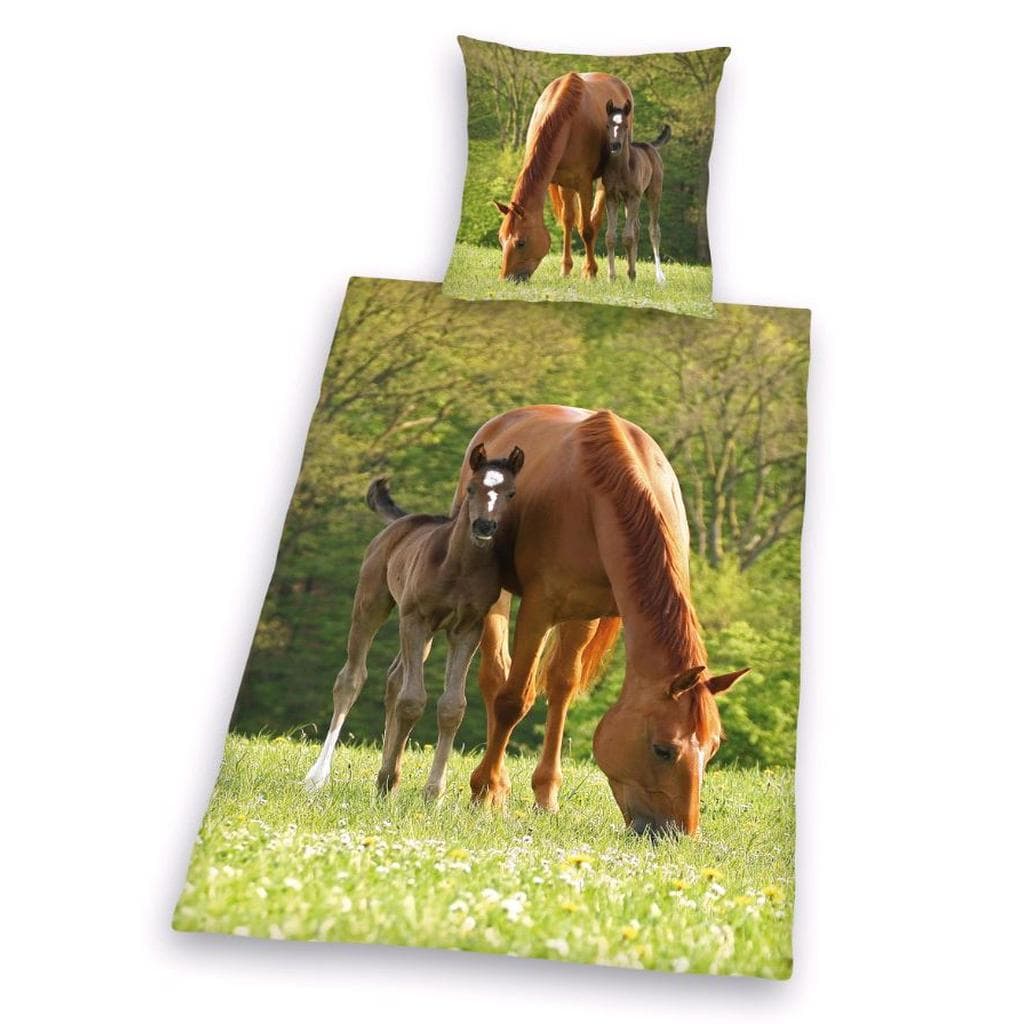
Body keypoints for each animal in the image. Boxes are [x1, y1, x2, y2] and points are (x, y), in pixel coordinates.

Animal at [303, 444, 525, 802]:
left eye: (511, 492)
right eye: (471, 488)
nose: (484, 527)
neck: (459, 567)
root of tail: (405, 520)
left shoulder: (467, 629)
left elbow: (451, 706)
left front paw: (432, 793)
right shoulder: (416, 620)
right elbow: (412, 700)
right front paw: (392, 782)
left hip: (428, 634)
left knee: (394, 679)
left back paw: (384, 772)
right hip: (372, 603)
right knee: (352, 679)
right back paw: (318, 776)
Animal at [450, 406, 748, 837]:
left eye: (713, 749)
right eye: (662, 750)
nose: (678, 835)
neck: (604, 494)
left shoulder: (585, 611)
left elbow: (562, 688)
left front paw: (546, 797)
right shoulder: (540, 607)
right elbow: (513, 699)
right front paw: (484, 791)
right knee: (496, 677)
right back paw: (495, 785)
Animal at [494, 72, 632, 283]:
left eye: (521, 243)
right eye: (501, 239)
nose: (506, 278)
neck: (566, 120)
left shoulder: (583, 184)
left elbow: (586, 229)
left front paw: (590, 271)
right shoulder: (564, 182)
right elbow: (568, 221)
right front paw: (566, 269)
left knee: (594, 219)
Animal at [602, 100, 670, 284]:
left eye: (625, 125)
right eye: (608, 125)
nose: (615, 146)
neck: (621, 169)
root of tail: (650, 146)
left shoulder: (633, 198)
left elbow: (627, 236)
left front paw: (630, 274)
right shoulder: (611, 198)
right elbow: (610, 236)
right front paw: (612, 277)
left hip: (654, 193)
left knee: (653, 230)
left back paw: (659, 277)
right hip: (629, 201)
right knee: (637, 228)